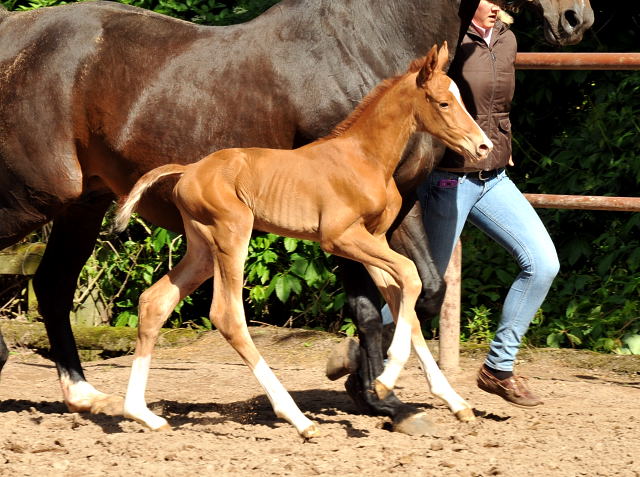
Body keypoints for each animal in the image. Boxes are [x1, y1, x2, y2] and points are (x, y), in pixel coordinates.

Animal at [117, 42, 492, 436]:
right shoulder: (340, 237)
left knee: (154, 302)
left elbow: (405, 295)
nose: (483, 146)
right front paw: (386, 380)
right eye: (444, 103)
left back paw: (142, 414)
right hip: (232, 235)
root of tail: (188, 170)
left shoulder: (374, 238)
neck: (364, 157)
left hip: (203, 250)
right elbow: (410, 275)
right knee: (227, 315)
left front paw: (454, 402)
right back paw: (297, 418)